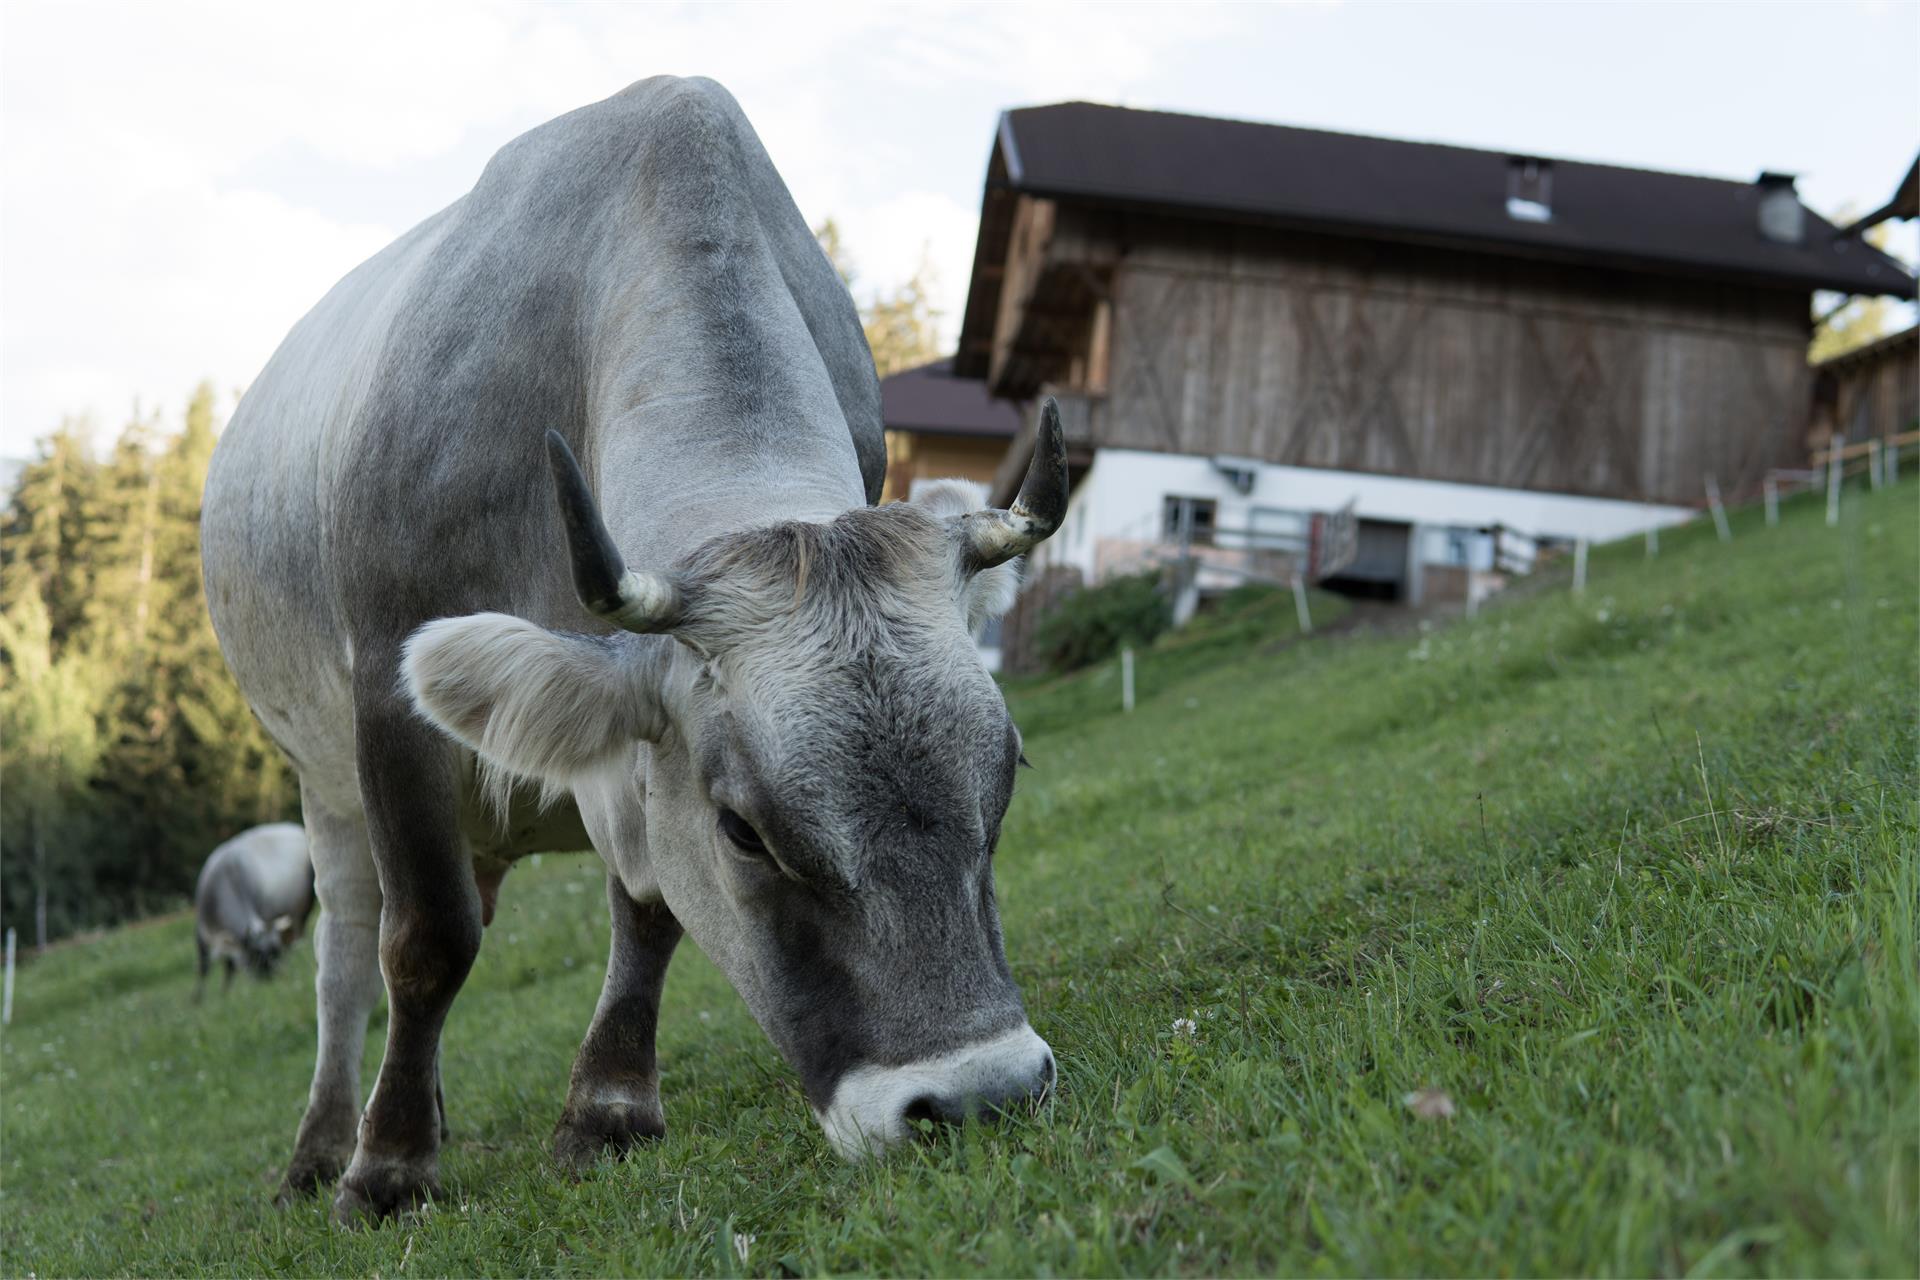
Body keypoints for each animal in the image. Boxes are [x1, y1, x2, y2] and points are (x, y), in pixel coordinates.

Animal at [192, 821, 314, 997]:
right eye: (255, 955)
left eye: (276, 953)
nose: (270, 983)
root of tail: (294, 828)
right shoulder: (201, 932)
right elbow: (206, 966)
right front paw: (205, 997)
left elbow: (229, 966)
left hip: (301, 911)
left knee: (297, 938)